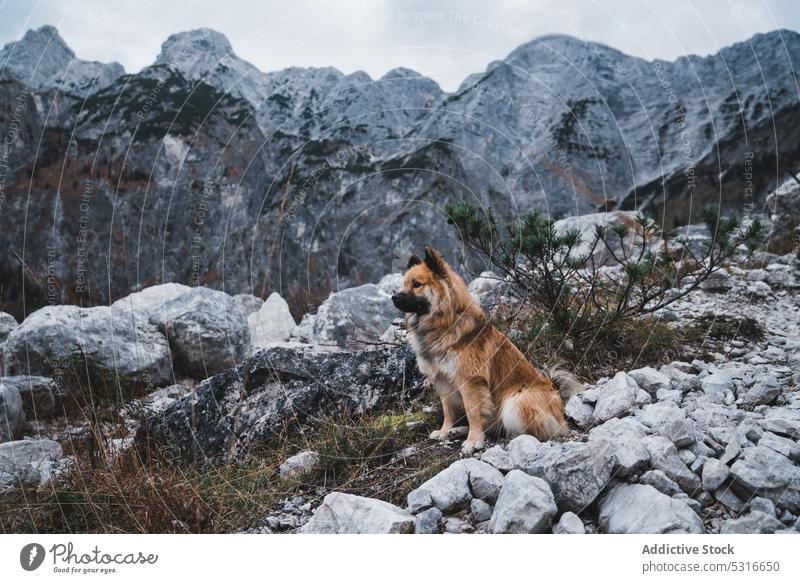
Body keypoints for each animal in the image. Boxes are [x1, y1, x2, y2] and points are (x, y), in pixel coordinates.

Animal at [390, 246, 580, 456]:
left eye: (416, 284)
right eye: (404, 283)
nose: (394, 297)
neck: (444, 324)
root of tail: (556, 395)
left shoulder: (470, 382)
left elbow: (473, 412)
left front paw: (473, 441)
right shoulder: (443, 380)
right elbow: (448, 410)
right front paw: (445, 431)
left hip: (515, 400)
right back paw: (458, 430)